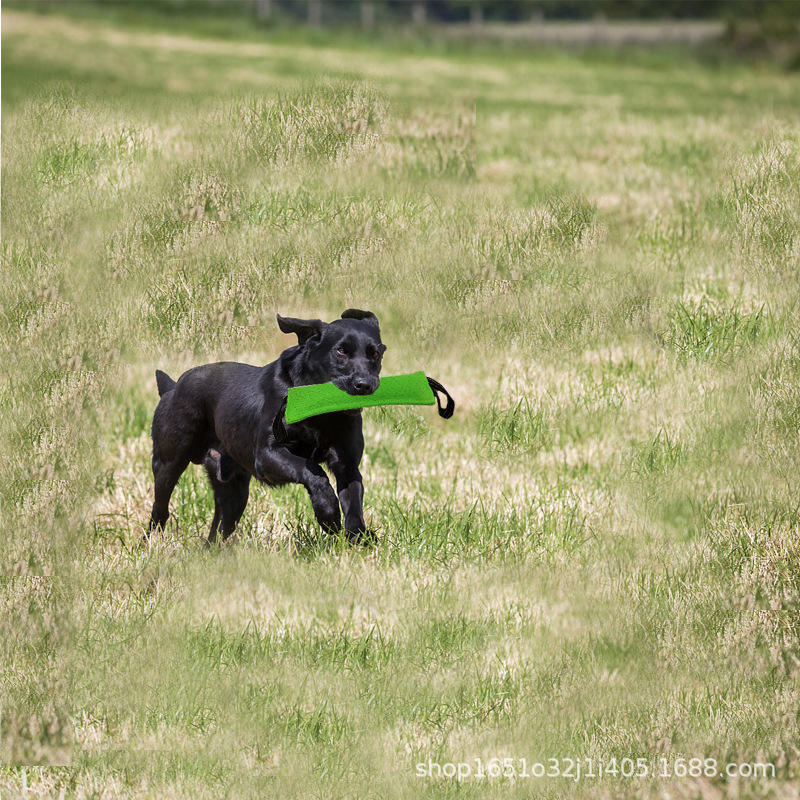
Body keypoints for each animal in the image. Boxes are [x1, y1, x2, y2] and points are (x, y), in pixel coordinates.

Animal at [152, 308, 390, 544]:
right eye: (341, 351)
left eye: (375, 354)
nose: (364, 385)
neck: (320, 415)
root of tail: (173, 387)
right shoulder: (267, 454)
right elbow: (312, 470)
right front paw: (328, 513)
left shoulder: (347, 464)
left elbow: (354, 501)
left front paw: (359, 536)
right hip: (168, 463)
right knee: (160, 509)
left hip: (233, 494)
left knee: (217, 531)